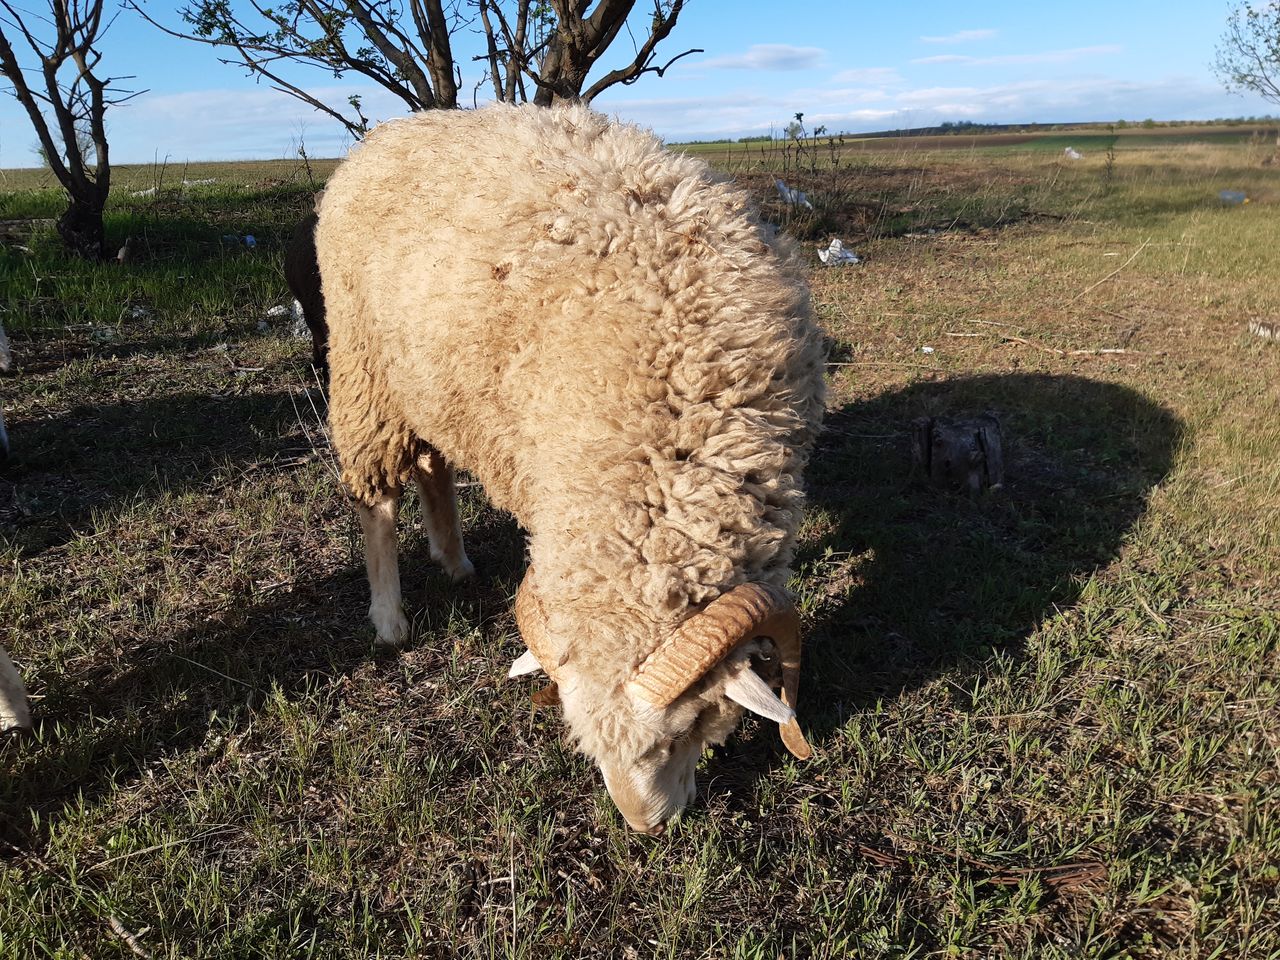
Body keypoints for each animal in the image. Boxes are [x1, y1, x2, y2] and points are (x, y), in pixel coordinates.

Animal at [314, 104, 824, 834]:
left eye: (686, 729)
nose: (647, 828)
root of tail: (387, 134)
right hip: (365, 369)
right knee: (376, 500)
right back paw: (389, 617)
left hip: (431, 382)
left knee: (434, 466)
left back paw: (454, 559)